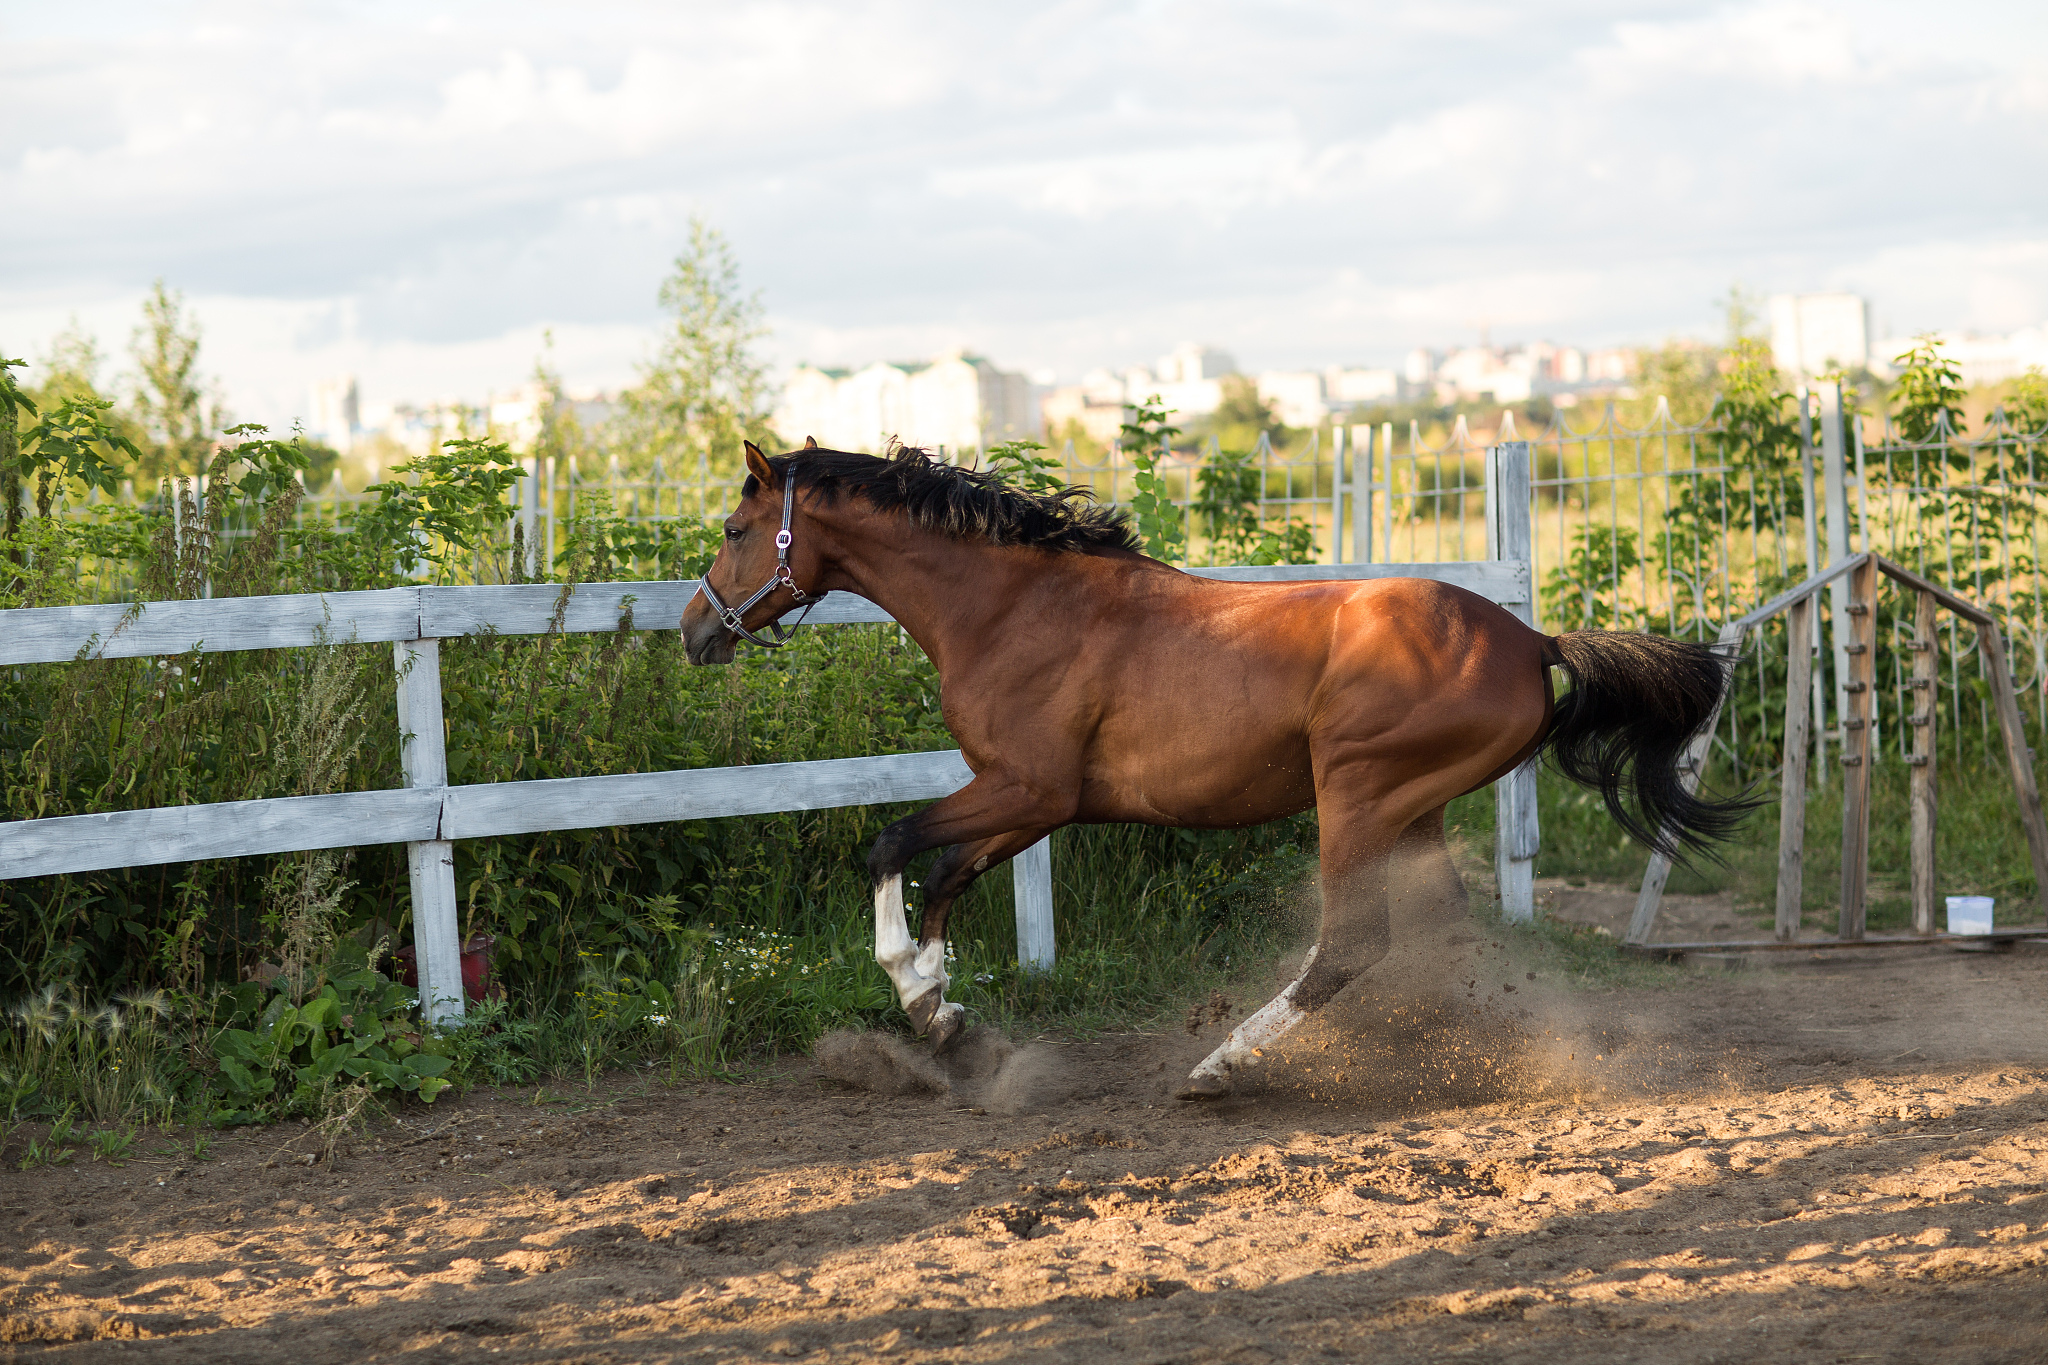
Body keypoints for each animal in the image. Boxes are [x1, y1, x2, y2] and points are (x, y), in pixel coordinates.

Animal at [681, 440, 1744, 1099]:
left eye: (734, 532)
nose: (696, 630)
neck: (1012, 605)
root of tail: (1534, 640)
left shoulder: (1029, 788)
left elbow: (892, 842)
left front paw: (915, 992)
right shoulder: (1035, 804)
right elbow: (944, 873)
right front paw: (947, 1021)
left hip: (1358, 793)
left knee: (1350, 942)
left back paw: (1221, 1065)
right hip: (1414, 807)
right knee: (1436, 920)